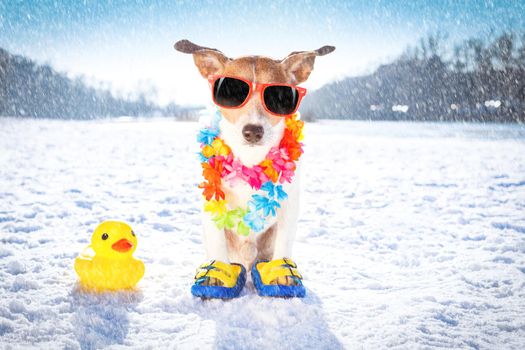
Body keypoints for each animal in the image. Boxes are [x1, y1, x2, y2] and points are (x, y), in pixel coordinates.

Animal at [174, 40, 334, 292]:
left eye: (279, 97)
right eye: (231, 92)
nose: (252, 131)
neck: (250, 160)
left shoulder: (289, 207)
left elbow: (284, 242)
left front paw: (281, 273)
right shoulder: (212, 205)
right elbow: (217, 241)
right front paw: (217, 272)